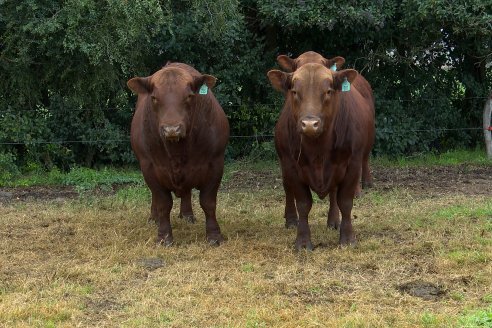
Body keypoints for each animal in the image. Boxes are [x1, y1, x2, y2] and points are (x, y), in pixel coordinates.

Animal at [126, 62, 228, 246]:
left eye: (189, 96)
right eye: (154, 98)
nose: (171, 129)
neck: (177, 151)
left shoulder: (216, 164)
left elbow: (208, 203)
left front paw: (214, 236)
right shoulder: (149, 167)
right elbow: (163, 203)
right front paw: (164, 237)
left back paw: (187, 215)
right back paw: (154, 218)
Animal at [268, 63, 374, 249]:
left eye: (328, 91)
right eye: (294, 91)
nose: (310, 124)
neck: (318, 150)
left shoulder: (352, 164)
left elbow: (345, 202)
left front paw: (348, 238)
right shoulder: (291, 165)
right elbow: (303, 204)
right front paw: (303, 242)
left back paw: (334, 220)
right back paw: (291, 220)